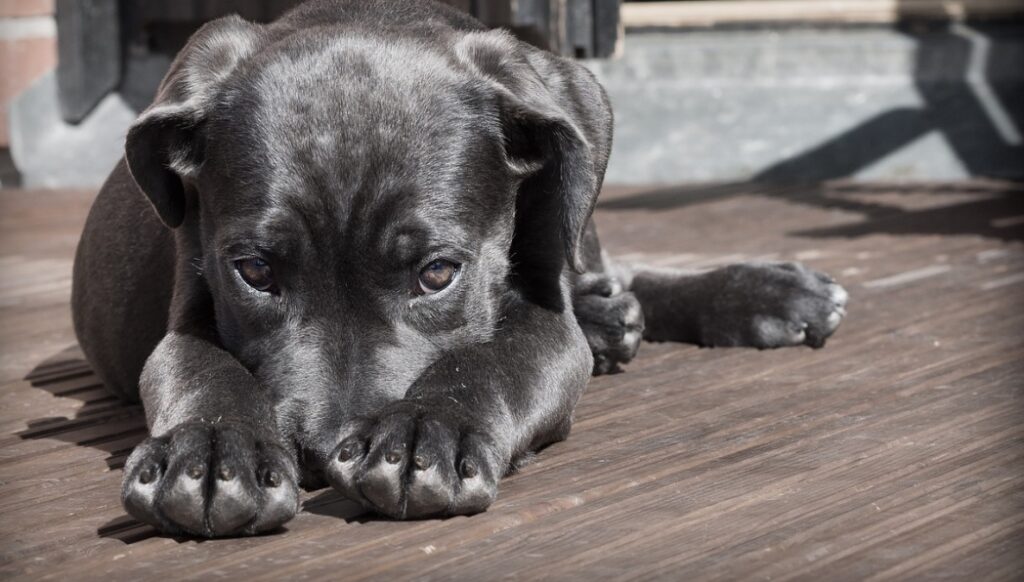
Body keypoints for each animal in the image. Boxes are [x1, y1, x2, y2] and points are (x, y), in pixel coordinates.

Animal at [70, 0, 847, 536]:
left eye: (438, 274)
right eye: (255, 271)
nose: (321, 453)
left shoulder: (542, 318)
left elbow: (494, 360)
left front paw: (425, 432)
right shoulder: (190, 304)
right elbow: (200, 368)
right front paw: (209, 451)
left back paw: (760, 293)